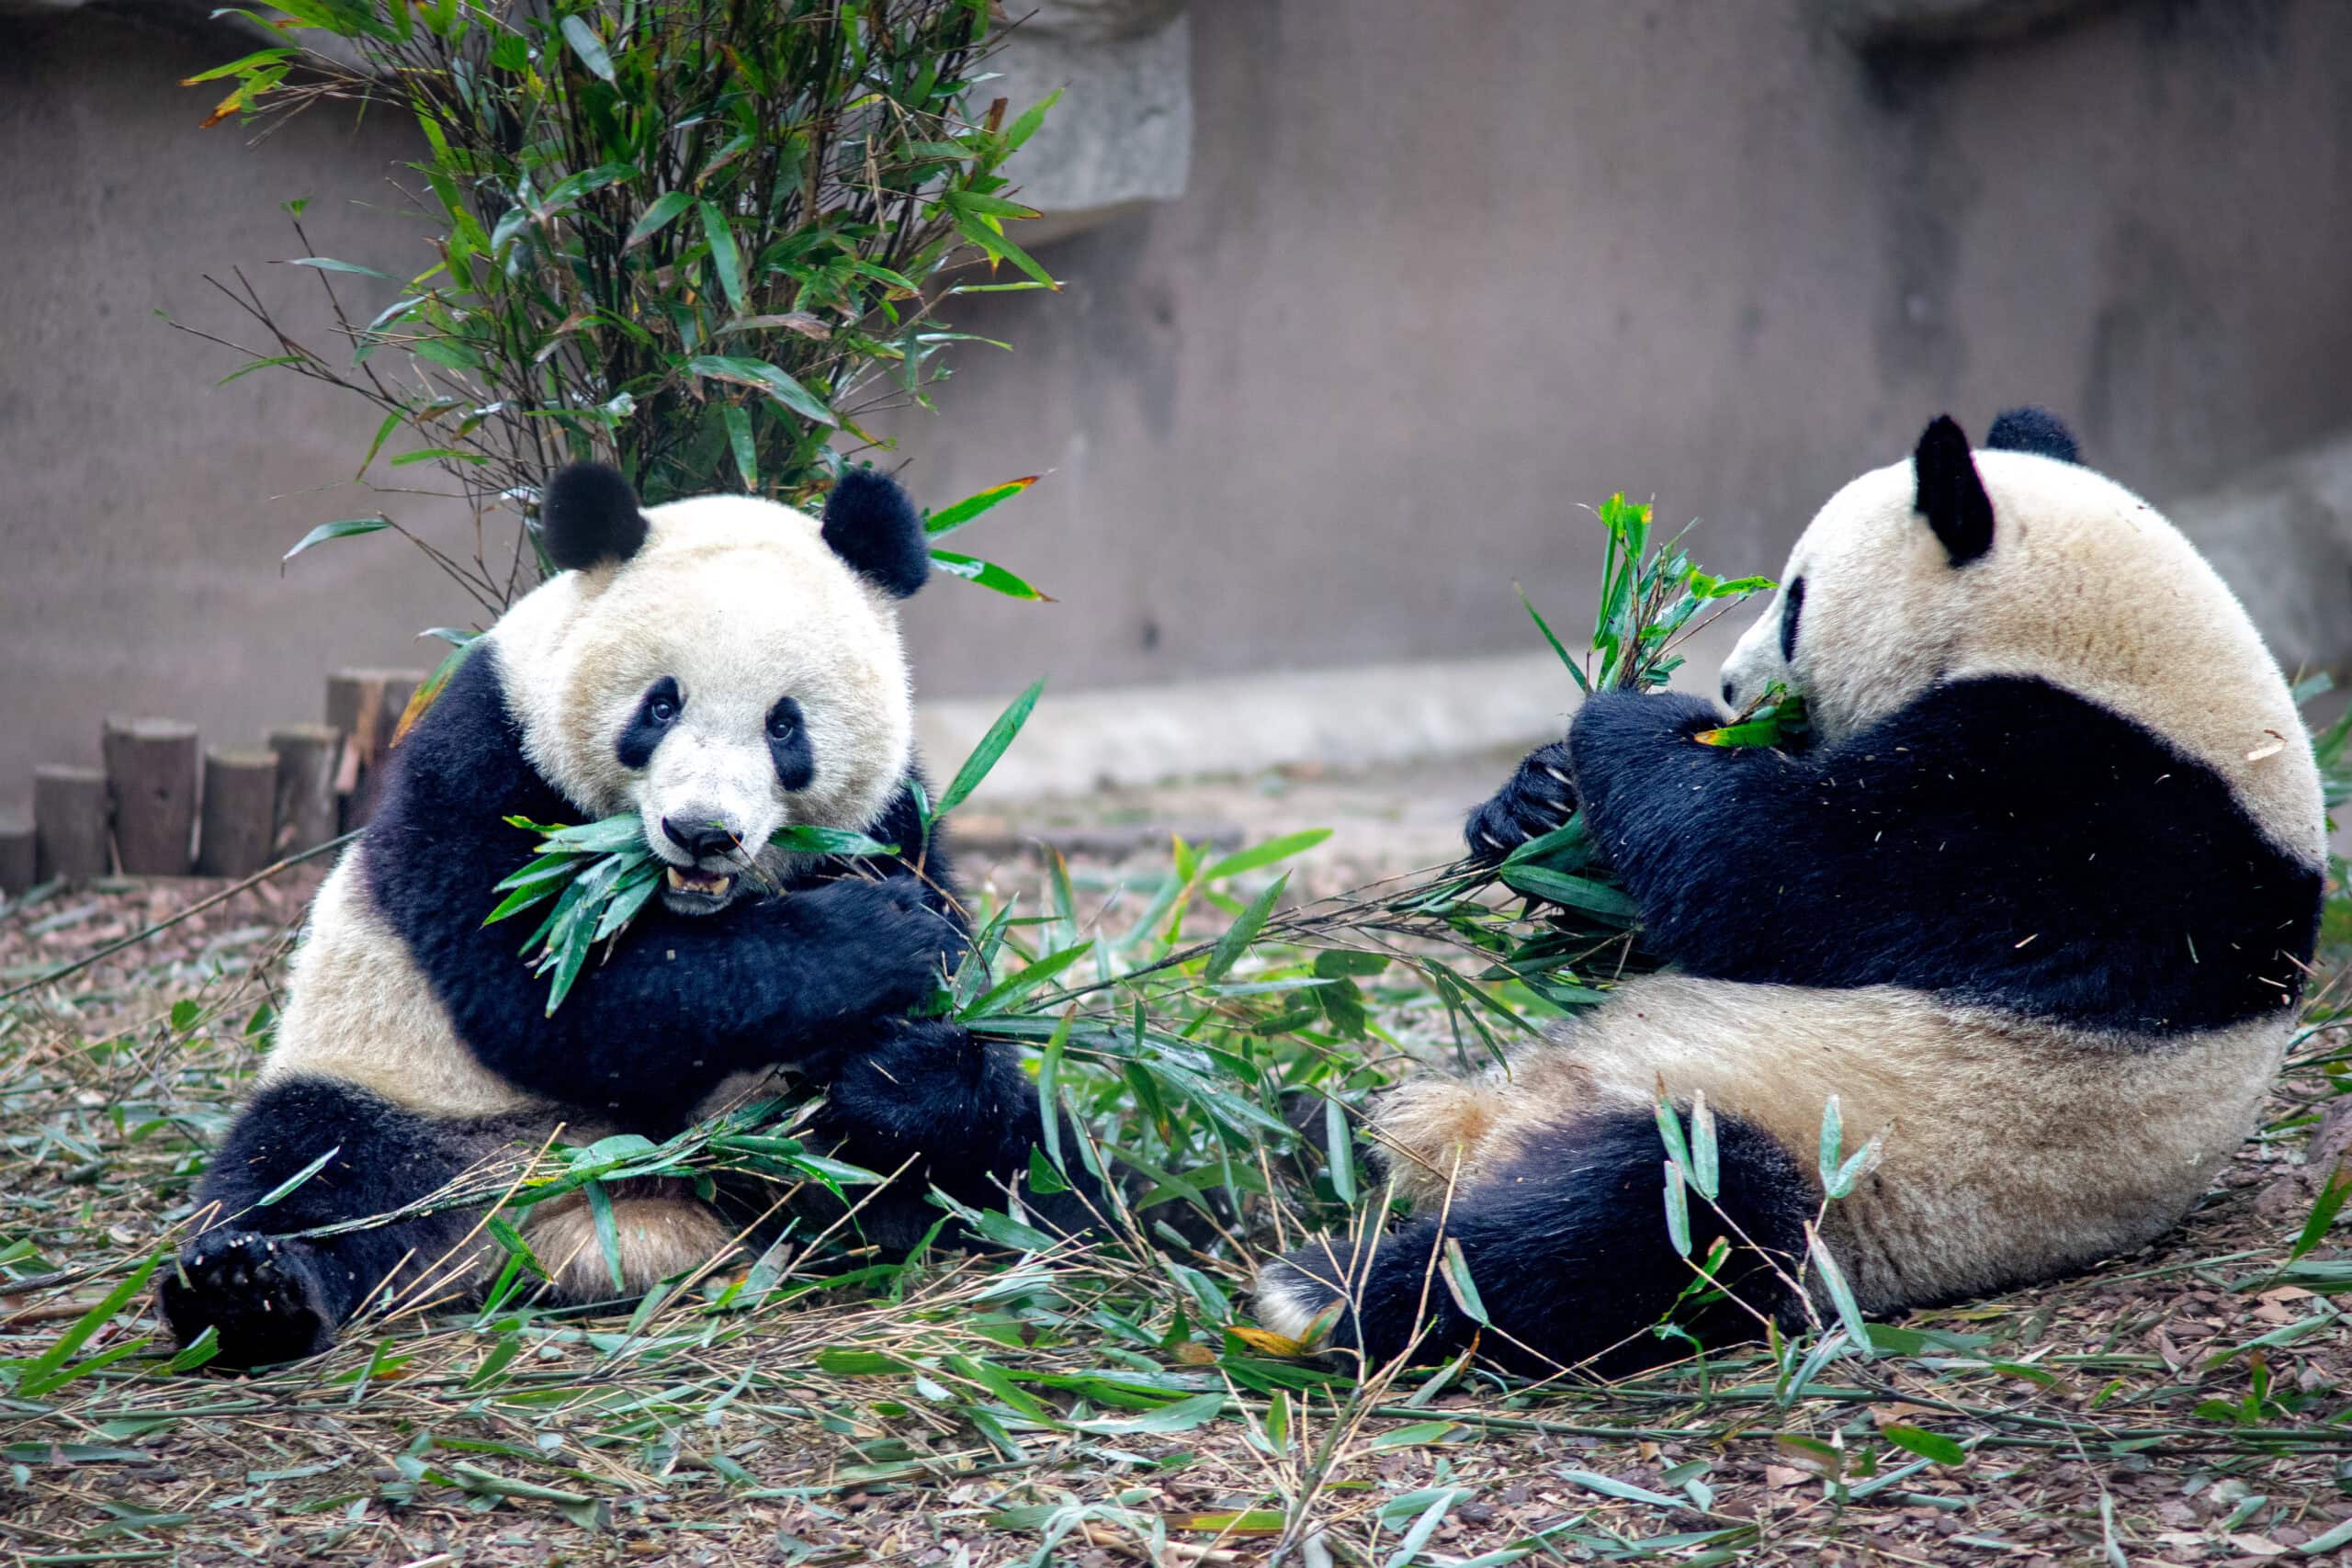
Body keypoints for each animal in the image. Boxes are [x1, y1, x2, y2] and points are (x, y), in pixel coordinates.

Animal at [161, 463, 1091, 1369]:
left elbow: (956, 1005)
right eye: (660, 704)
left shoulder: (892, 814)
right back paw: (248, 1293)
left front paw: (892, 1062)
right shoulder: (486, 763)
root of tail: (596, 1217)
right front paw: (875, 932)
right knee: (310, 1169)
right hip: (411, 1096)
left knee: (1026, 1152)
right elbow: (559, 996)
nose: (703, 831)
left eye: (785, 725)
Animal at [1258, 409, 2326, 1373]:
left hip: (1818, 1156)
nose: (1735, 690)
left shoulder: (2077, 821)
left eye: (1793, 602)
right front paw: (1533, 805)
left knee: (1642, 1222)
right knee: (1337, 1121)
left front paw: (1629, 716)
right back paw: (1270, 1164)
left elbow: (1763, 868)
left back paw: (1330, 1285)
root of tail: (1477, 1145)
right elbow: (1653, 926)